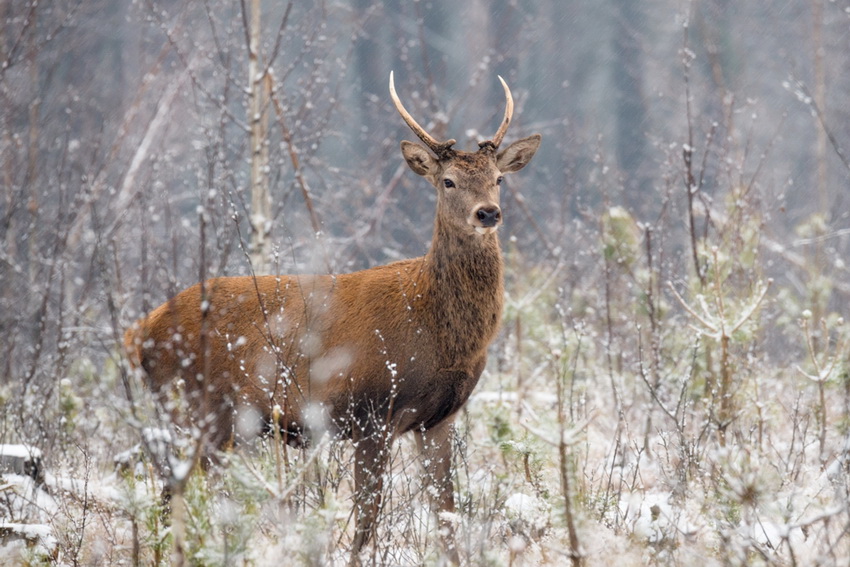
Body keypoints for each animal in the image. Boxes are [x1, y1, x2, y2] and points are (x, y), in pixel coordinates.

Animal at [123, 72, 540, 564]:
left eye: (499, 179)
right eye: (449, 181)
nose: (488, 212)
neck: (437, 330)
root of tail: (139, 331)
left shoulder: (438, 419)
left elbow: (447, 515)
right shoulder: (371, 412)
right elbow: (366, 515)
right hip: (194, 407)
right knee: (173, 492)